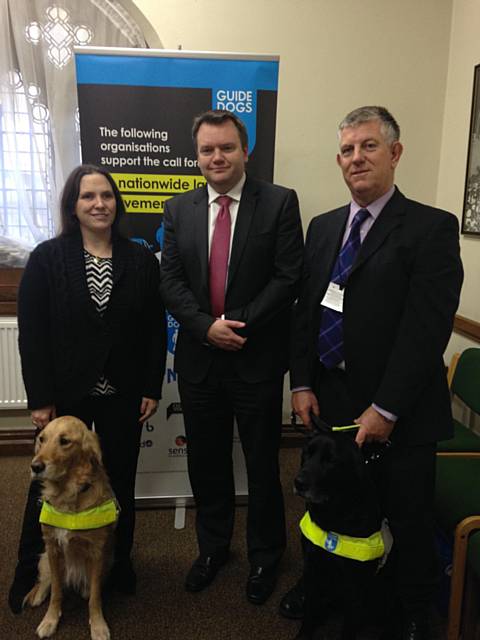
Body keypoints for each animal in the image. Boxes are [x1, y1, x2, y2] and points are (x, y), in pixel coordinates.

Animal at [24, 416, 118, 640]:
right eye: (42, 439)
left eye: (65, 441)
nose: (35, 466)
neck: (67, 493)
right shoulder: (52, 548)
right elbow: (56, 592)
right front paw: (50, 620)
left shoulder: (97, 552)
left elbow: (95, 597)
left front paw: (98, 625)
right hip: (44, 559)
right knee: (45, 581)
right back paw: (38, 595)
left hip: (109, 561)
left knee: (88, 590)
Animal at [292, 416, 390, 640]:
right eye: (306, 453)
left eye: (331, 461)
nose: (299, 482)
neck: (333, 515)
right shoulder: (312, 570)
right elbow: (309, 613)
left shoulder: (354, 586)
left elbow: (349, 627)